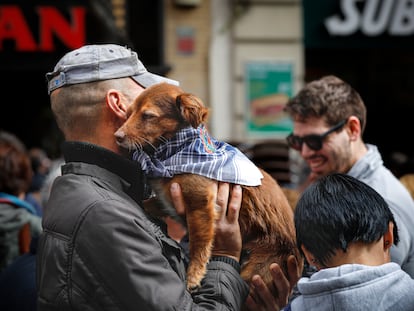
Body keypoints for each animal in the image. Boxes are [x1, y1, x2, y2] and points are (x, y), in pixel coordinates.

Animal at [115, 83, 302, 298]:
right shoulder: (166, 200)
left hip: (256, 275)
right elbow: (146, 203)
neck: (173, 154)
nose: (117, 136)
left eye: (148, 116)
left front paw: (194, 276)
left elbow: (199, 244)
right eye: (129, 113)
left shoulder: (200, 206)